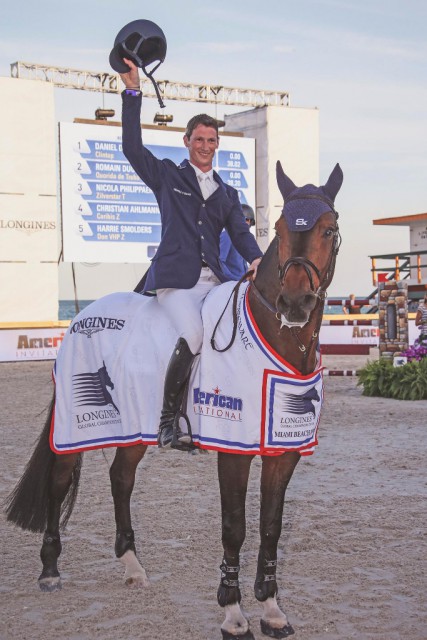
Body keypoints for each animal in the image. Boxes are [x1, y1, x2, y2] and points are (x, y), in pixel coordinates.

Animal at [4, 161, 344, 640]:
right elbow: (235, 527)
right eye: (279, 228)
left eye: (328, 230)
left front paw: (272, 609)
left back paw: (132, 566)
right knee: (59, 481)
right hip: (75, 424)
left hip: (134, 428)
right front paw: (233, 613)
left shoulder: (284, 450)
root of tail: (81, 317)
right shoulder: (234, 450)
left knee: (121, 478)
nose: (294, 303)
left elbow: (271, 527)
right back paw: (50, 570)